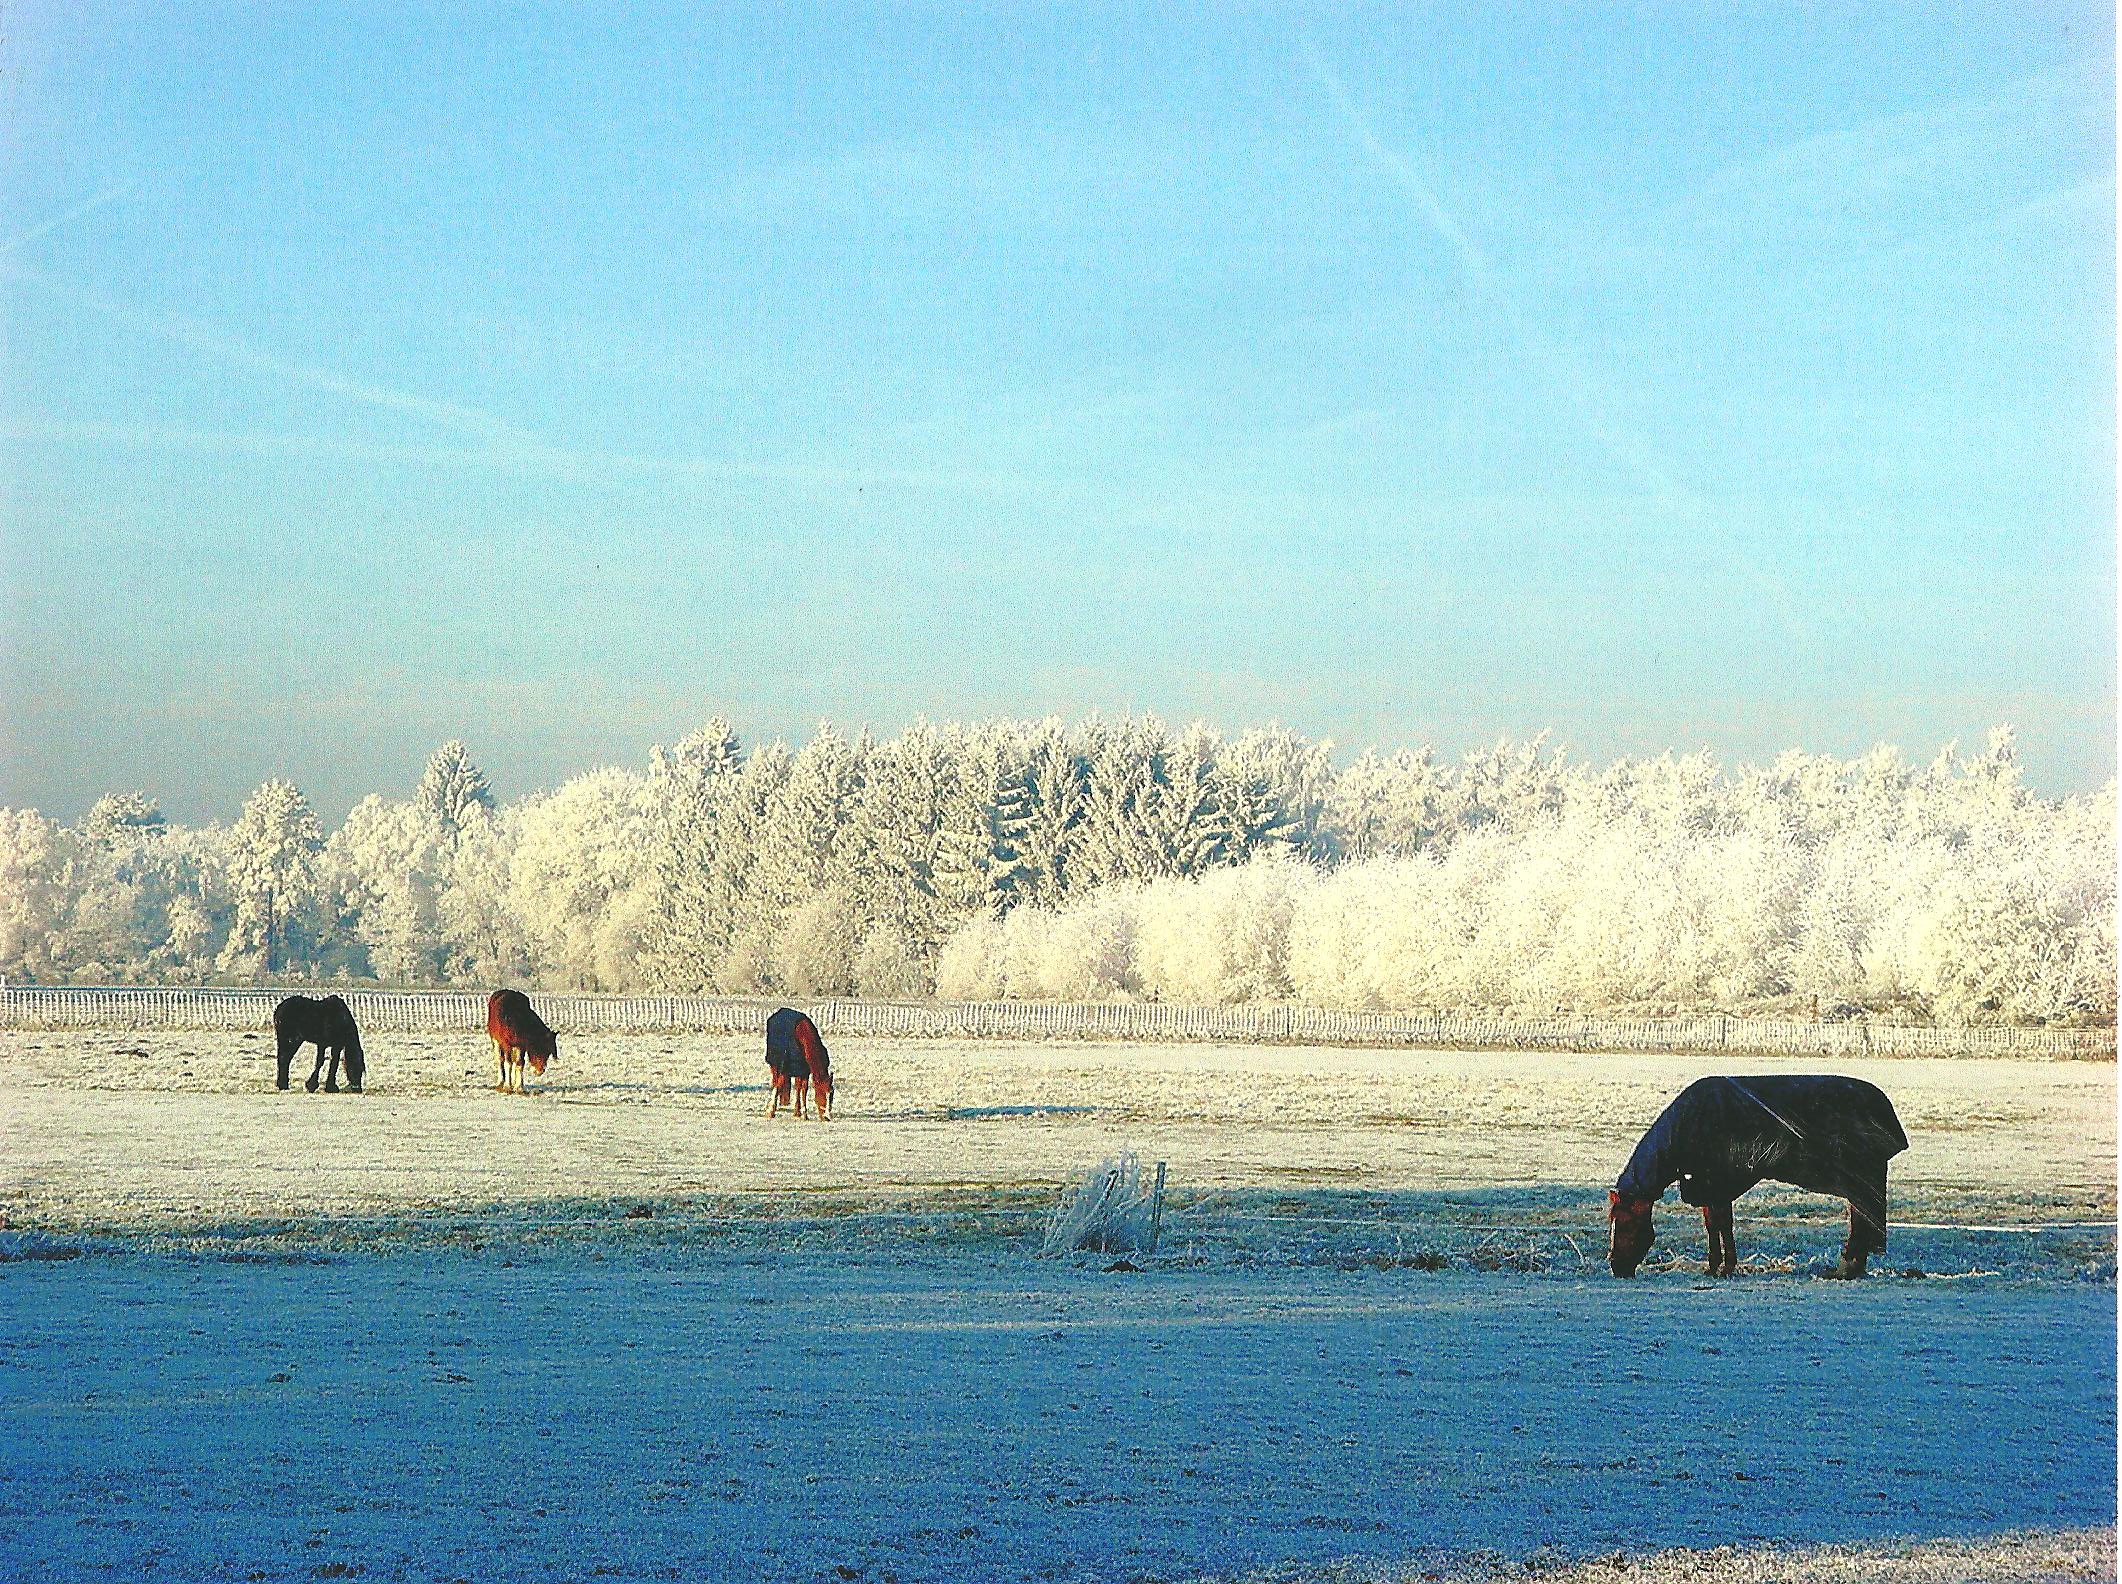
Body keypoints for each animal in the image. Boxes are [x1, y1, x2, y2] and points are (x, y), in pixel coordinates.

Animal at [1607, 1074, 1908, 1279]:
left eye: (1625, 1221)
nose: (1616, 1267)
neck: (1685, 1128)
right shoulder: (1710, 1189)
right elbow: (1715, 1226)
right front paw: (1716, 1266)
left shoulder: (1716, 1186)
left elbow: (1722, 1225)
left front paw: (1724, 1268)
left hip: (1862, 1181)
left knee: (1863, 1226)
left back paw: (1847, 1268)